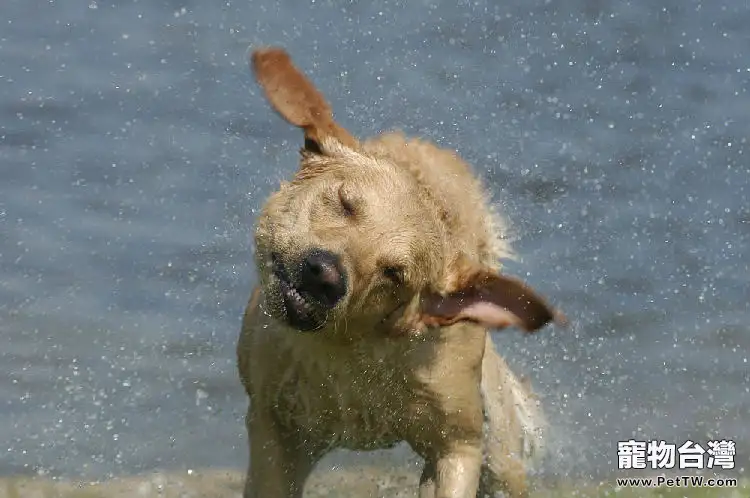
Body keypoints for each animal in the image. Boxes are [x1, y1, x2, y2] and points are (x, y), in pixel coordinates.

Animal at [238, 47, 568, 498]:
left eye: (394, 273)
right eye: (345, 203)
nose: (325, 276)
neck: (346, 353)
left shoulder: (458, 441)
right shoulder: (276, 425)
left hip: (500, 449)